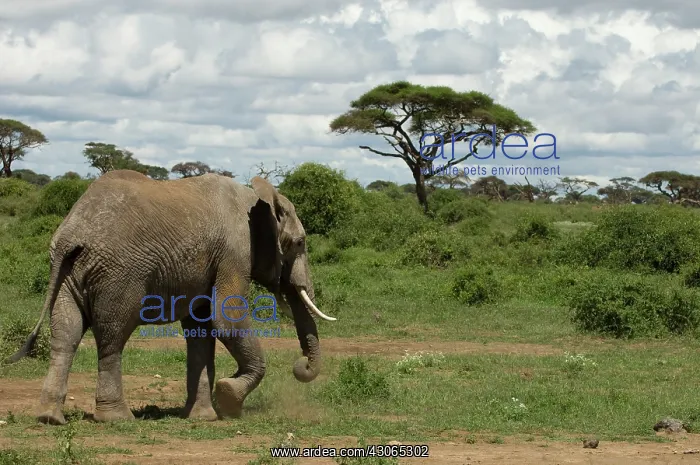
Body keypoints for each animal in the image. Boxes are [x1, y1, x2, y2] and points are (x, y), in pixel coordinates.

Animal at [5, 169, 336, 425]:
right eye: (300, 243)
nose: (301, 366)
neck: (256, 197)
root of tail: (72, 233)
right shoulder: (234, 251)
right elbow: (226, 319)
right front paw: (228, 398)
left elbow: (200, 331)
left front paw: (203, 416)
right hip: (118, 274)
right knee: (112, 337)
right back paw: (117, 419)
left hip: (66, 273)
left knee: (66, 334)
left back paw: (49, 417)